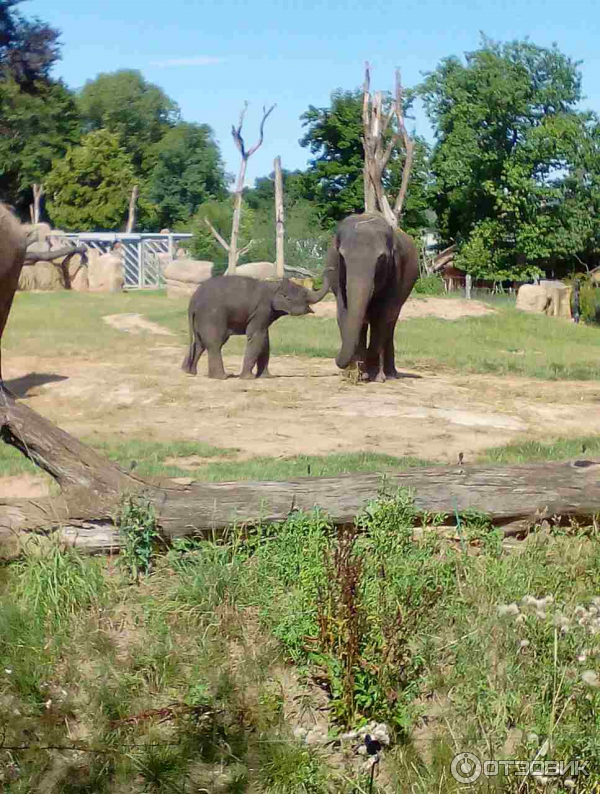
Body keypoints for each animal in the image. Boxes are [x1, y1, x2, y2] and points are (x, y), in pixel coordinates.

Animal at [183, 276, 332, 380]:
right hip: (212, 316)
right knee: (215, 343)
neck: (275, 285)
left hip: (200, 320)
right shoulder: (262, 310)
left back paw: (188, 371)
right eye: (305, 295)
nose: (330, 268)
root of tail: (192, 303)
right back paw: (223, 377)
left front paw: (267, 377)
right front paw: (248, 378)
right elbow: (256, 336)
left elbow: (265, 340)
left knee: (199, 343)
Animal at [328, 212, 418, 382]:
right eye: (342, 256)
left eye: (381, 258)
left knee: (389, 323)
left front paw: (371, 374)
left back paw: (388, 375)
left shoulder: (395, 273)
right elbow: (343, 313)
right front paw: (356, 373)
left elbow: (381, 317)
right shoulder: (337, 274)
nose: (336, 359)